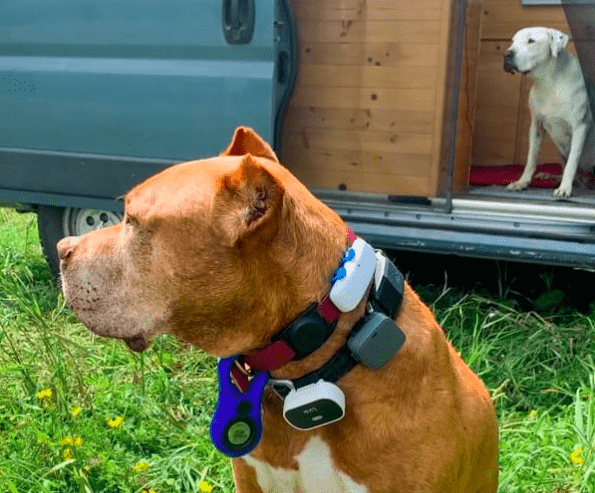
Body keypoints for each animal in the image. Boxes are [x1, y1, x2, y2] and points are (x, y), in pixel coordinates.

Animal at [502, 26, 595, 196]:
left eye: (531, 41)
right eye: (512, 41)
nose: (507, 54)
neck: (549, 83)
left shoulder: (580, 127)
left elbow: (572, 162)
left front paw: (564, 189)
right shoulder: (536, 127)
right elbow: (531, 159)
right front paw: (522, 182)